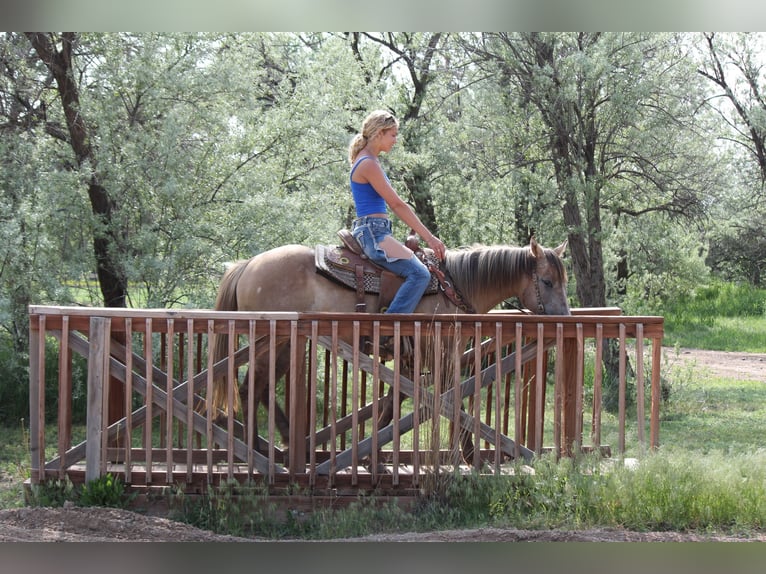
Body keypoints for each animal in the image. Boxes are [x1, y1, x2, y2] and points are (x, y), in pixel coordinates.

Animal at [209, 237, 570, 459]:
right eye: (547, 281)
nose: (565, 318)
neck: (452, 288)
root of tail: (247, 265)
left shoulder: (412, 360)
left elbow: (394, 404)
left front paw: (370, 453)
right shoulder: (436, 355)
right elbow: (450, 399)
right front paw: (467, 453)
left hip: (283, 344)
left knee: (263, 389)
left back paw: (280, 443)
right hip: (269, 341)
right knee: (250, 389)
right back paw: (256, 451)